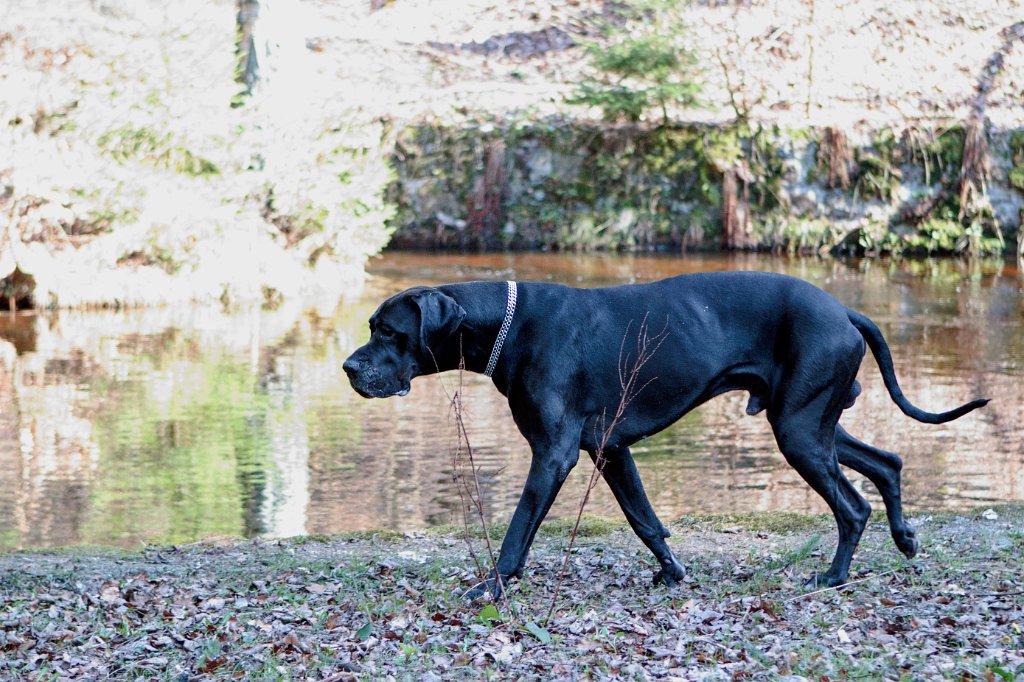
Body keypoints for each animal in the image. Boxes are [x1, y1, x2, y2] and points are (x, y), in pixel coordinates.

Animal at [342, 272, 983, 593]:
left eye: (388, 332)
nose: (349, 368)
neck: (507, 320)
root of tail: (845, 309)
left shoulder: (554, 455)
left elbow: (518, 531)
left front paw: (492, 588)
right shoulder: (610, 449)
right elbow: (645, 519)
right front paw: (672, 573)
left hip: (799, 431)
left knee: (852, 506)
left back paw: (833, 576)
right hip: (812, 422)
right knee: (888, 462)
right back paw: (905, 539)